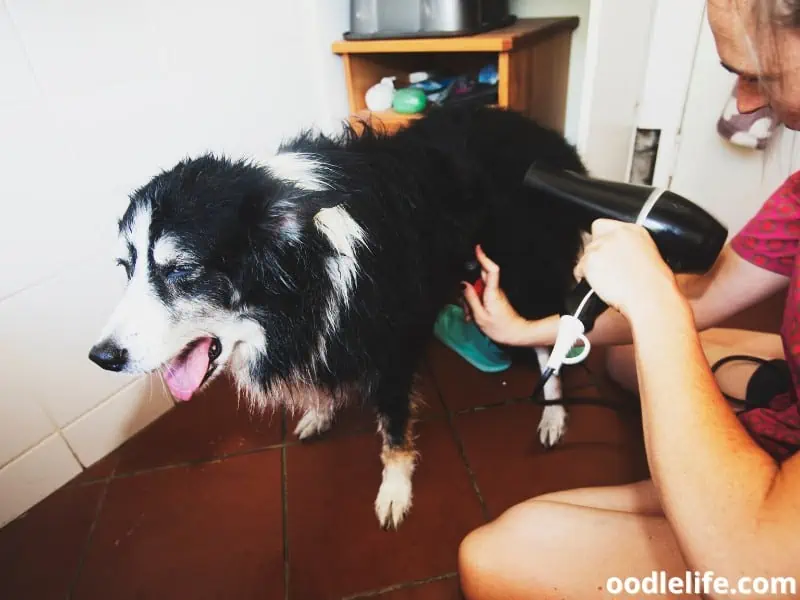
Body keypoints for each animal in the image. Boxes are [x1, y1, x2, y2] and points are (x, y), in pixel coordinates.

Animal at [87, 105, 592, 528]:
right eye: (125, 268)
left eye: (181, 270)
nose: (102, 357)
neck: (306, 267)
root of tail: (553, 140)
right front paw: (320, 412)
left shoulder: (391, 346)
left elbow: (394, 431)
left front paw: (395, 490)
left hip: (524, 274)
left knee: (551, 335)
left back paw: (553, 415)